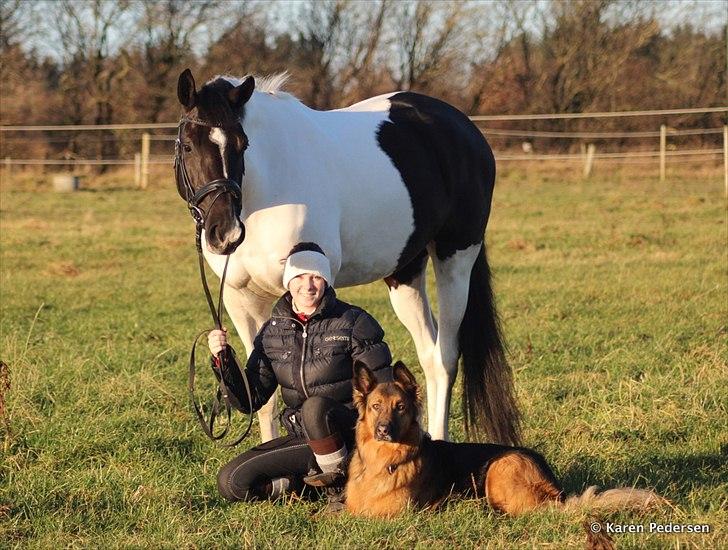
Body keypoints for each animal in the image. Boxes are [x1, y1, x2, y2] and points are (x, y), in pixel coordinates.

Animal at [173, 69, 520, 448]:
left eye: (242, 145)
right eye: (188, 145)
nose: (226, 234)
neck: (265, 191)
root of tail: (464, 128)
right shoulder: (241, 300)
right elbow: (262, 397)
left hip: (455, 258)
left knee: (444, 359)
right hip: (406, 271)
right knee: (428, 355)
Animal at [344, 364, 664, 520]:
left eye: (400, 407)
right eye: (375, 406)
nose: (384, 430)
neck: (386, 460)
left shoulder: (391, 513)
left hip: (501, 467)